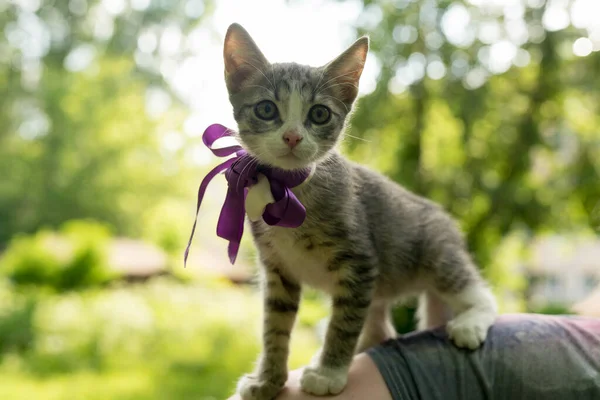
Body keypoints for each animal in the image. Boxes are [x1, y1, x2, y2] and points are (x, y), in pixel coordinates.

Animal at [223, 23, 500, 398]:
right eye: (266, 109)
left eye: (319, 114)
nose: (293, 137)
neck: (289, 189)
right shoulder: (278, 269)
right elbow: (274, 328)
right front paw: (267, 380)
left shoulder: (359, 262)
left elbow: (343, 324)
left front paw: (329, 373)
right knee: (379, 328)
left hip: (436, 252)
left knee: (475, 291)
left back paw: (471, 321)